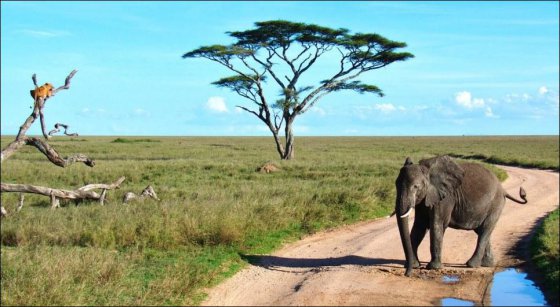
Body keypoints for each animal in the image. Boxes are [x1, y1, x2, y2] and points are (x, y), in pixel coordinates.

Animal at [392, 155, 528, 278]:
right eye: (396, 184)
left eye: (416, 187)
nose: (407, 274)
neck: (428, 171)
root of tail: (503, 189)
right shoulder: (425, 199)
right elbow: (419, 226)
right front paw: (415, 265)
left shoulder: (445, 198)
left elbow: (437, 225)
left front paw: (433, 268)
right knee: (482, 231)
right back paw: (487, 264)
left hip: (495, 204)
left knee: (485, 229)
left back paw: (471, 265)